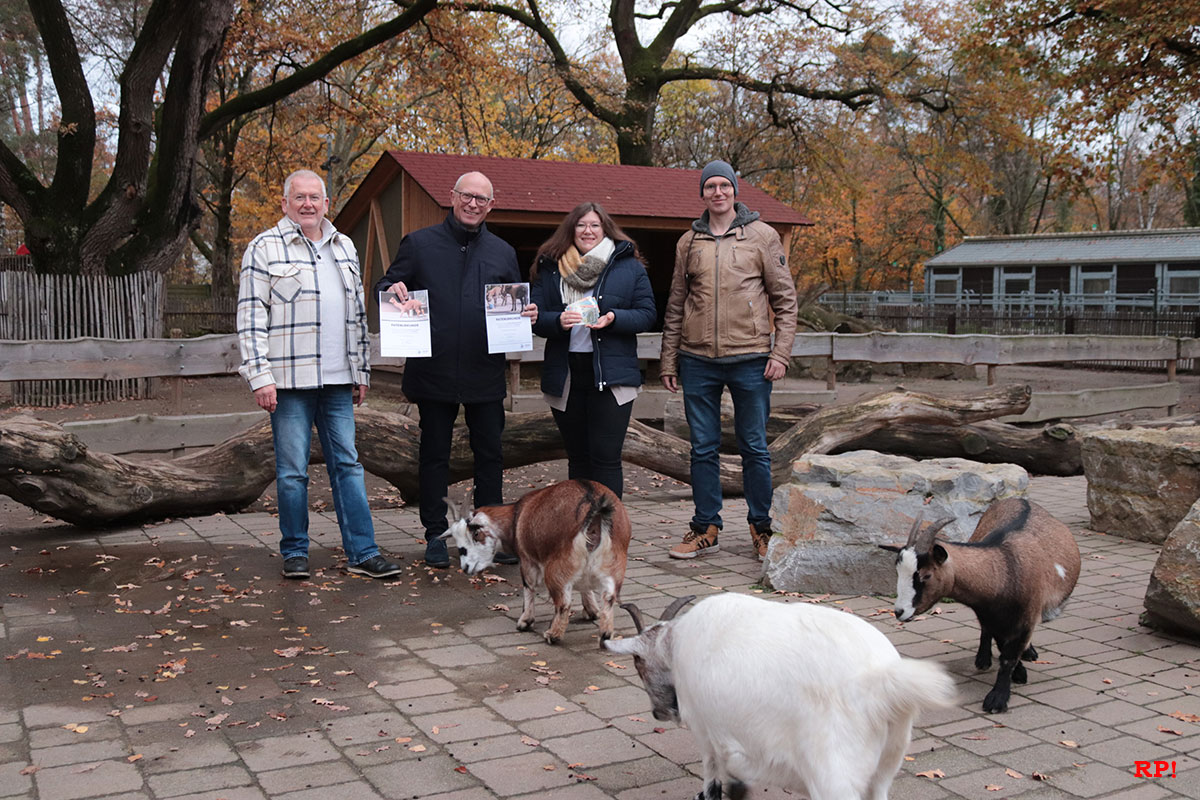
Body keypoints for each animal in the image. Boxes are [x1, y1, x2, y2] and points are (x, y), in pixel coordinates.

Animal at [444, 479, 633, 647]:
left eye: (474, 536)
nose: (466, 568)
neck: (516, 517)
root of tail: (594, 507)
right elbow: (585, 587)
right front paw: (592, 611)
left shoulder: (528, 561)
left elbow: (528, 586)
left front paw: (525, 621)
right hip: (614, 564)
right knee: (608, 597)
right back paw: (605, 634)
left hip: (557, 567)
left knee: (563, 602)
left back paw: (553, 635)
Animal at [609, 592, 955, 796]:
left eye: (638, 663)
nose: (658, 713)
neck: (675, 643)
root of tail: (879, 681)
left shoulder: (705, 726)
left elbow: (712, 769)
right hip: (887, 763)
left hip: (832, 773)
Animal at [883, 501, 1080, 714]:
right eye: (898, 572)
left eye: (926, 575)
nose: (900, 612)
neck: (1004, 570)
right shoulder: (992, 616)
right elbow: (1001, 645)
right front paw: (1017, 673)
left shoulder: (1026, 617)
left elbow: (1008, 657)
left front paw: (997, 699)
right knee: (985, 631)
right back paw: (983, 659)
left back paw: (1027, 653)